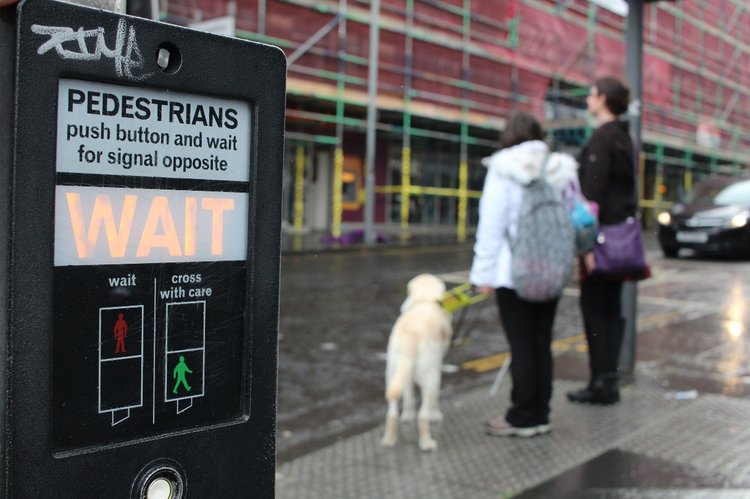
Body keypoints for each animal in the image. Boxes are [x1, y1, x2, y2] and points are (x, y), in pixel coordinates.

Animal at [382, 274, 452, 454]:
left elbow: (408, 397)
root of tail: (410, 338)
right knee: (423, 415)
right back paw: (427, 443)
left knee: (392, 413)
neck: (423, 300)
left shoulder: (405, 375)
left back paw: (389, 440)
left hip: (393, 374)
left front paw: (407, 416)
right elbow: (435, 398)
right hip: (430, 377)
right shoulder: (437, 368)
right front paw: (436, 415)